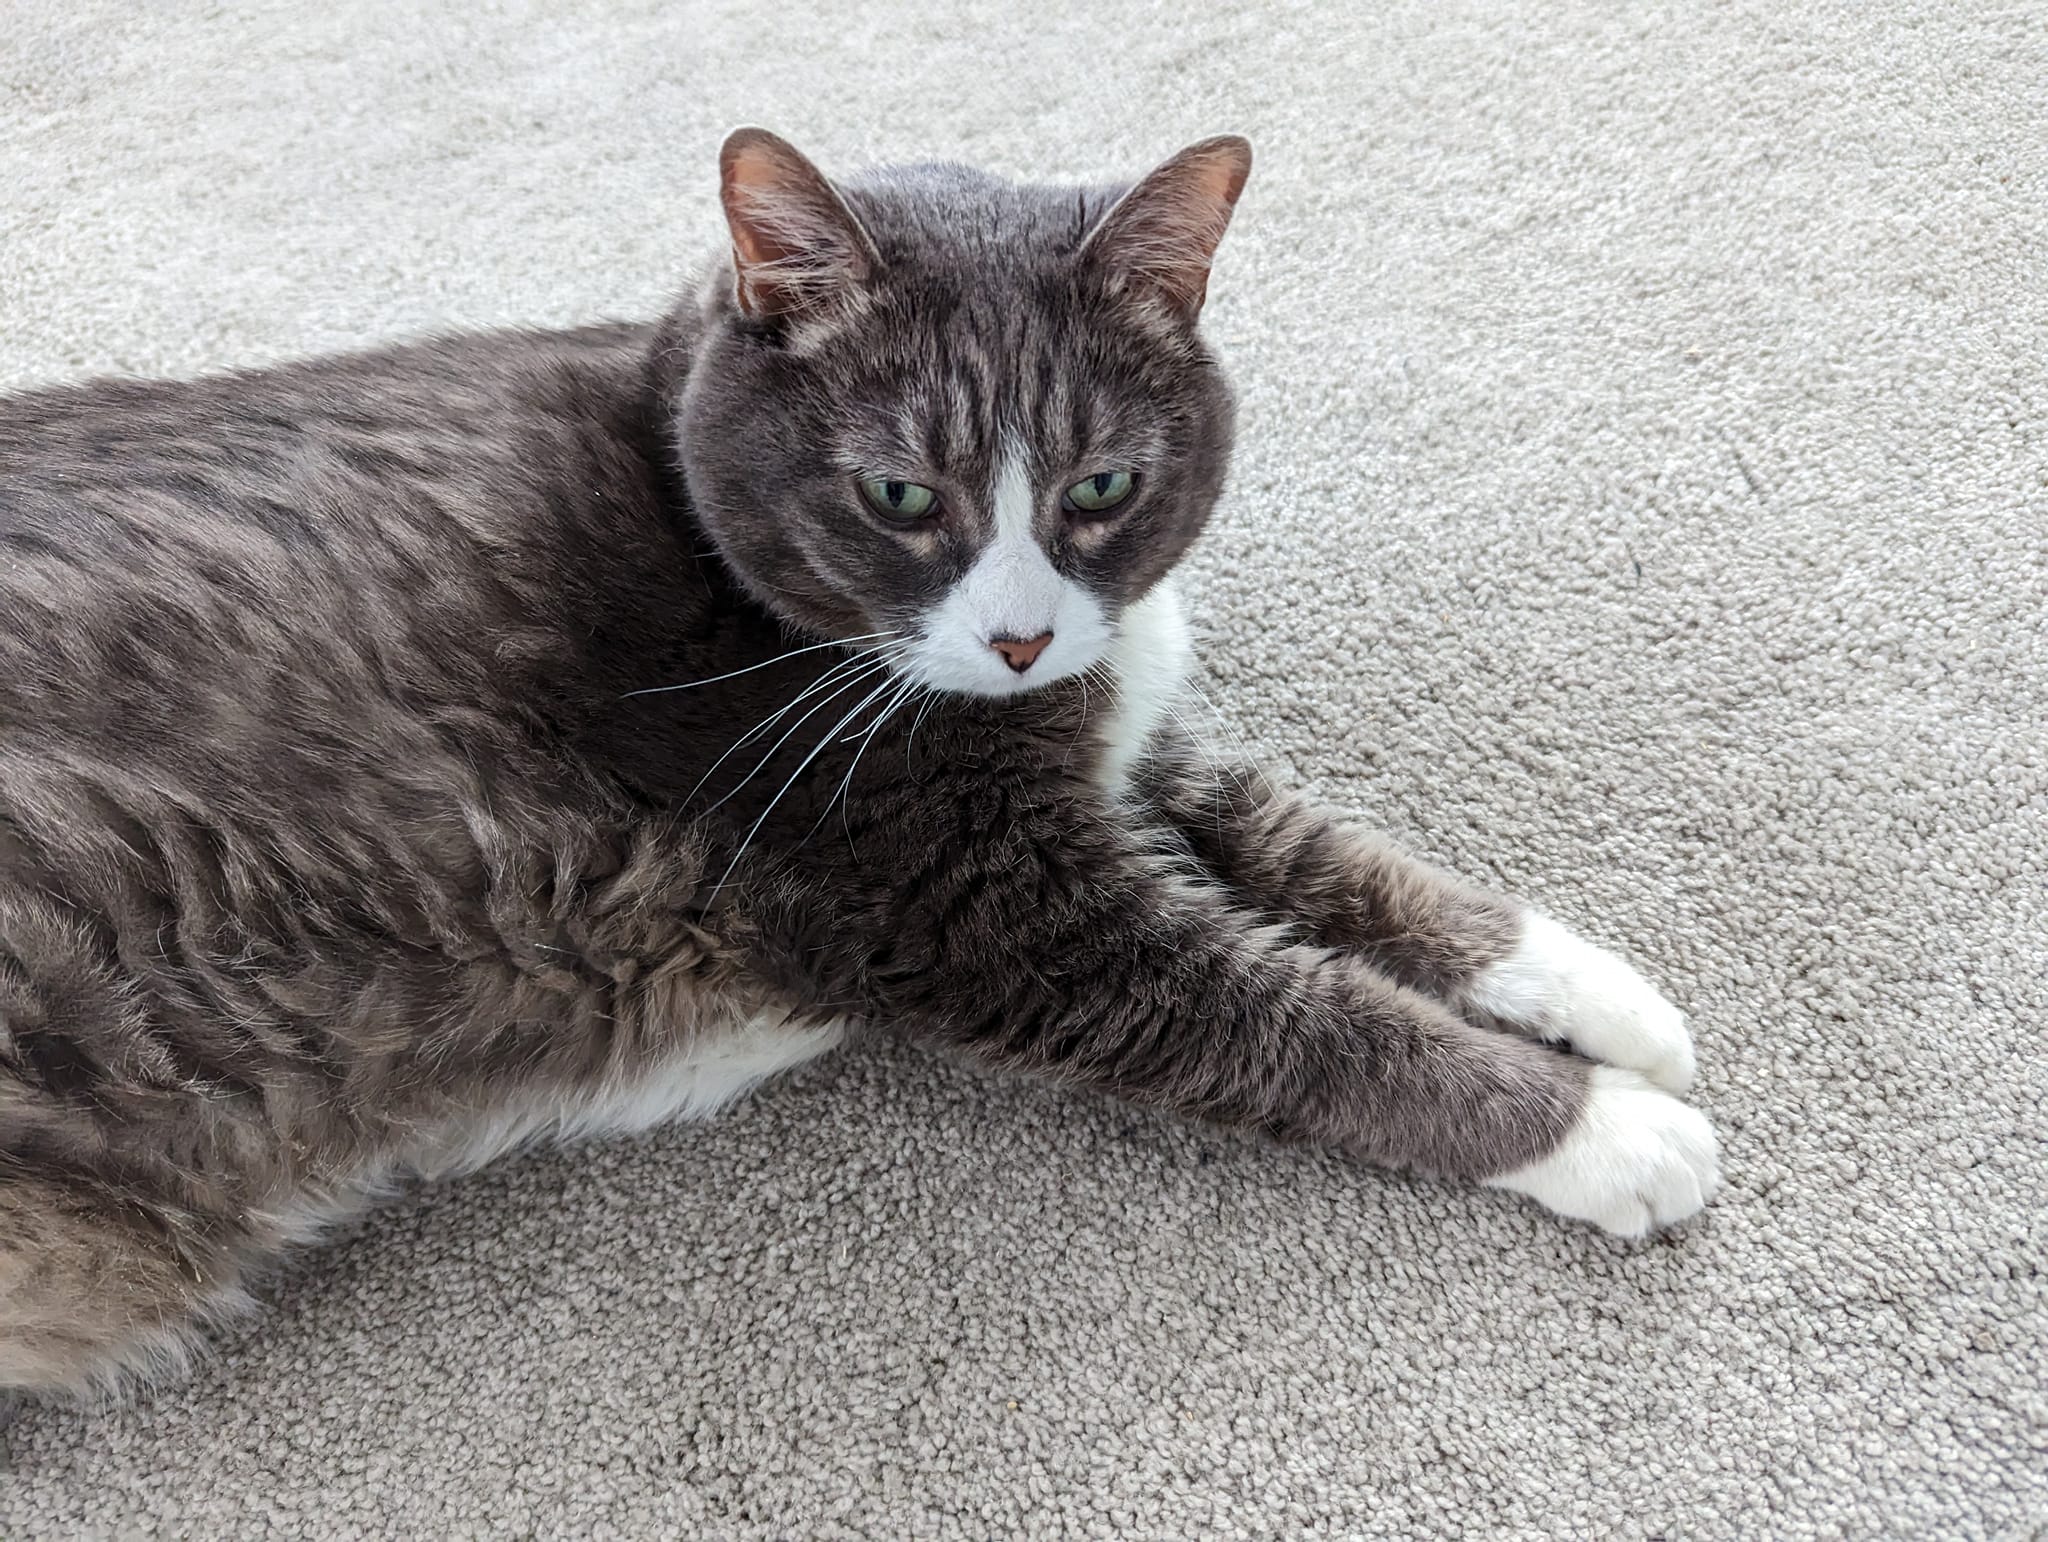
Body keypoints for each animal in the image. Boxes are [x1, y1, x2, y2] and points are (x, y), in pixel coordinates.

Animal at [0, 129, 1718, 1399]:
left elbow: (1310, 842)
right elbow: (1318, 1019)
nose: (1021, 640)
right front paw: (1611, 1132)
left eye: (1103, 485)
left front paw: (1599, 992)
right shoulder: (995, 904)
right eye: (899, 493)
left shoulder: (1120, 752)